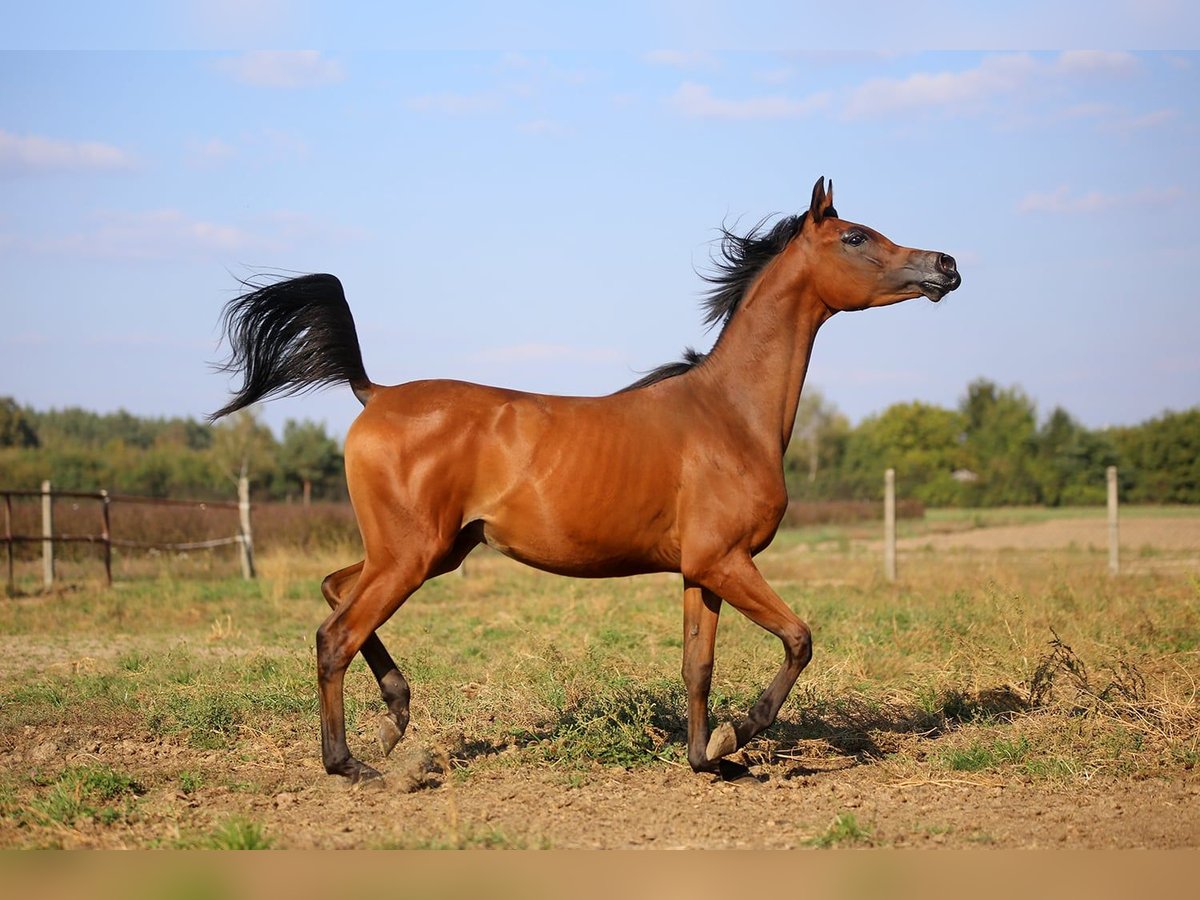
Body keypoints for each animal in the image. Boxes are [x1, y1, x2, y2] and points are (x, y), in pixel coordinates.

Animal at [213, 180, 964, 787]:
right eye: (855, 236)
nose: (946, 265)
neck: (729, 415)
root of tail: (376, 393)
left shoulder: (702, 570)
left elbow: (697, 667)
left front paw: (707, 759)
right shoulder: (728, 562)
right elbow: (799, 639)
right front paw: (737, 736)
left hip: (427, 552)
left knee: (334, 592)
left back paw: (395, 721)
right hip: (410, 556)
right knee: (335, 634)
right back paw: (354, 764)